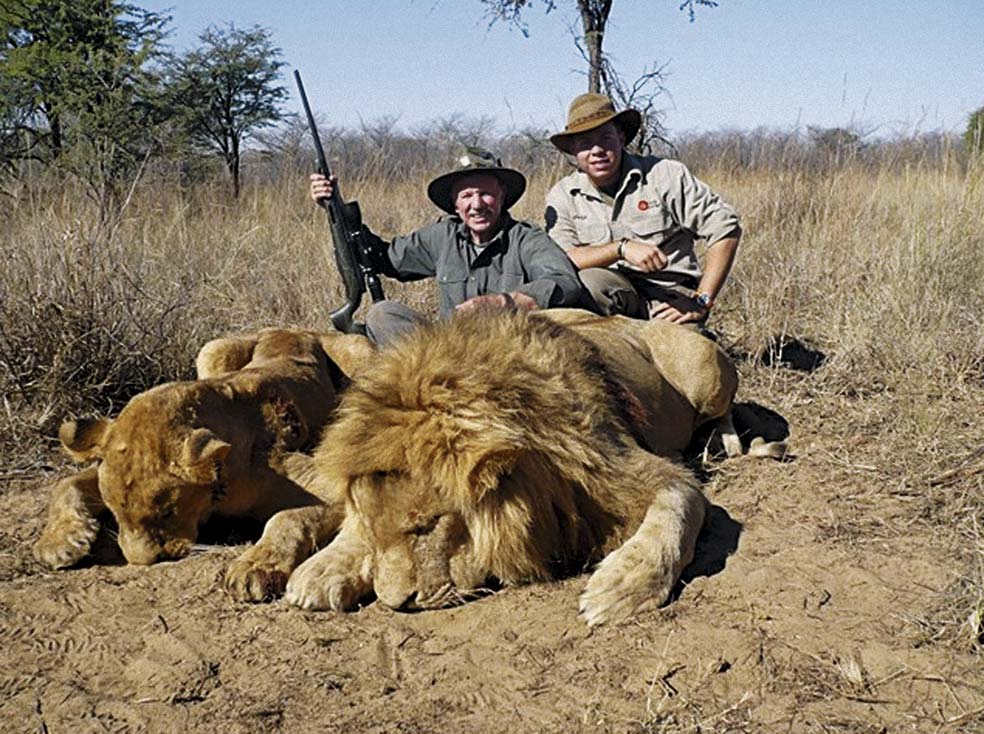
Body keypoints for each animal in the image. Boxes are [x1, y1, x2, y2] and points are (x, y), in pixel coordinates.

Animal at [33, 327, 373, 591]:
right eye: (116, 513)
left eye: (168, 512)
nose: (145, 562)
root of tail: (295, 329)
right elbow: (67, 482)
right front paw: (61, 542)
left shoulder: (326, 481)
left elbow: (287, 518)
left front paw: (253, 567)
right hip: (212, 349)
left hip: (361, 352)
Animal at [278, 308, 764, 625]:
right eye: (376, 531)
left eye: (428, 526)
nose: (397, 604)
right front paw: (322, 569)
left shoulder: (621, 465)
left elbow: (677, 507)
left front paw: (621, 587)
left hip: (708, 374)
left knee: (724, 414)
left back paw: (720, 443)